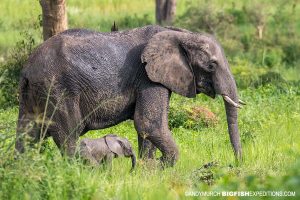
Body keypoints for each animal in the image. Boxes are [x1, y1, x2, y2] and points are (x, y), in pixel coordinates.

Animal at [15, 25, 244, 166]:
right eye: (212, 65)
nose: (236, 163)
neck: (180, 33)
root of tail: (28, 69)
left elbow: (148, 127)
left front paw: (147, 171)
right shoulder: (147, 77)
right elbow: (149, 124)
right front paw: (160, 167)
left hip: (32, 93)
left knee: (27, 134)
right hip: (59, 89)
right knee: (69, 135)